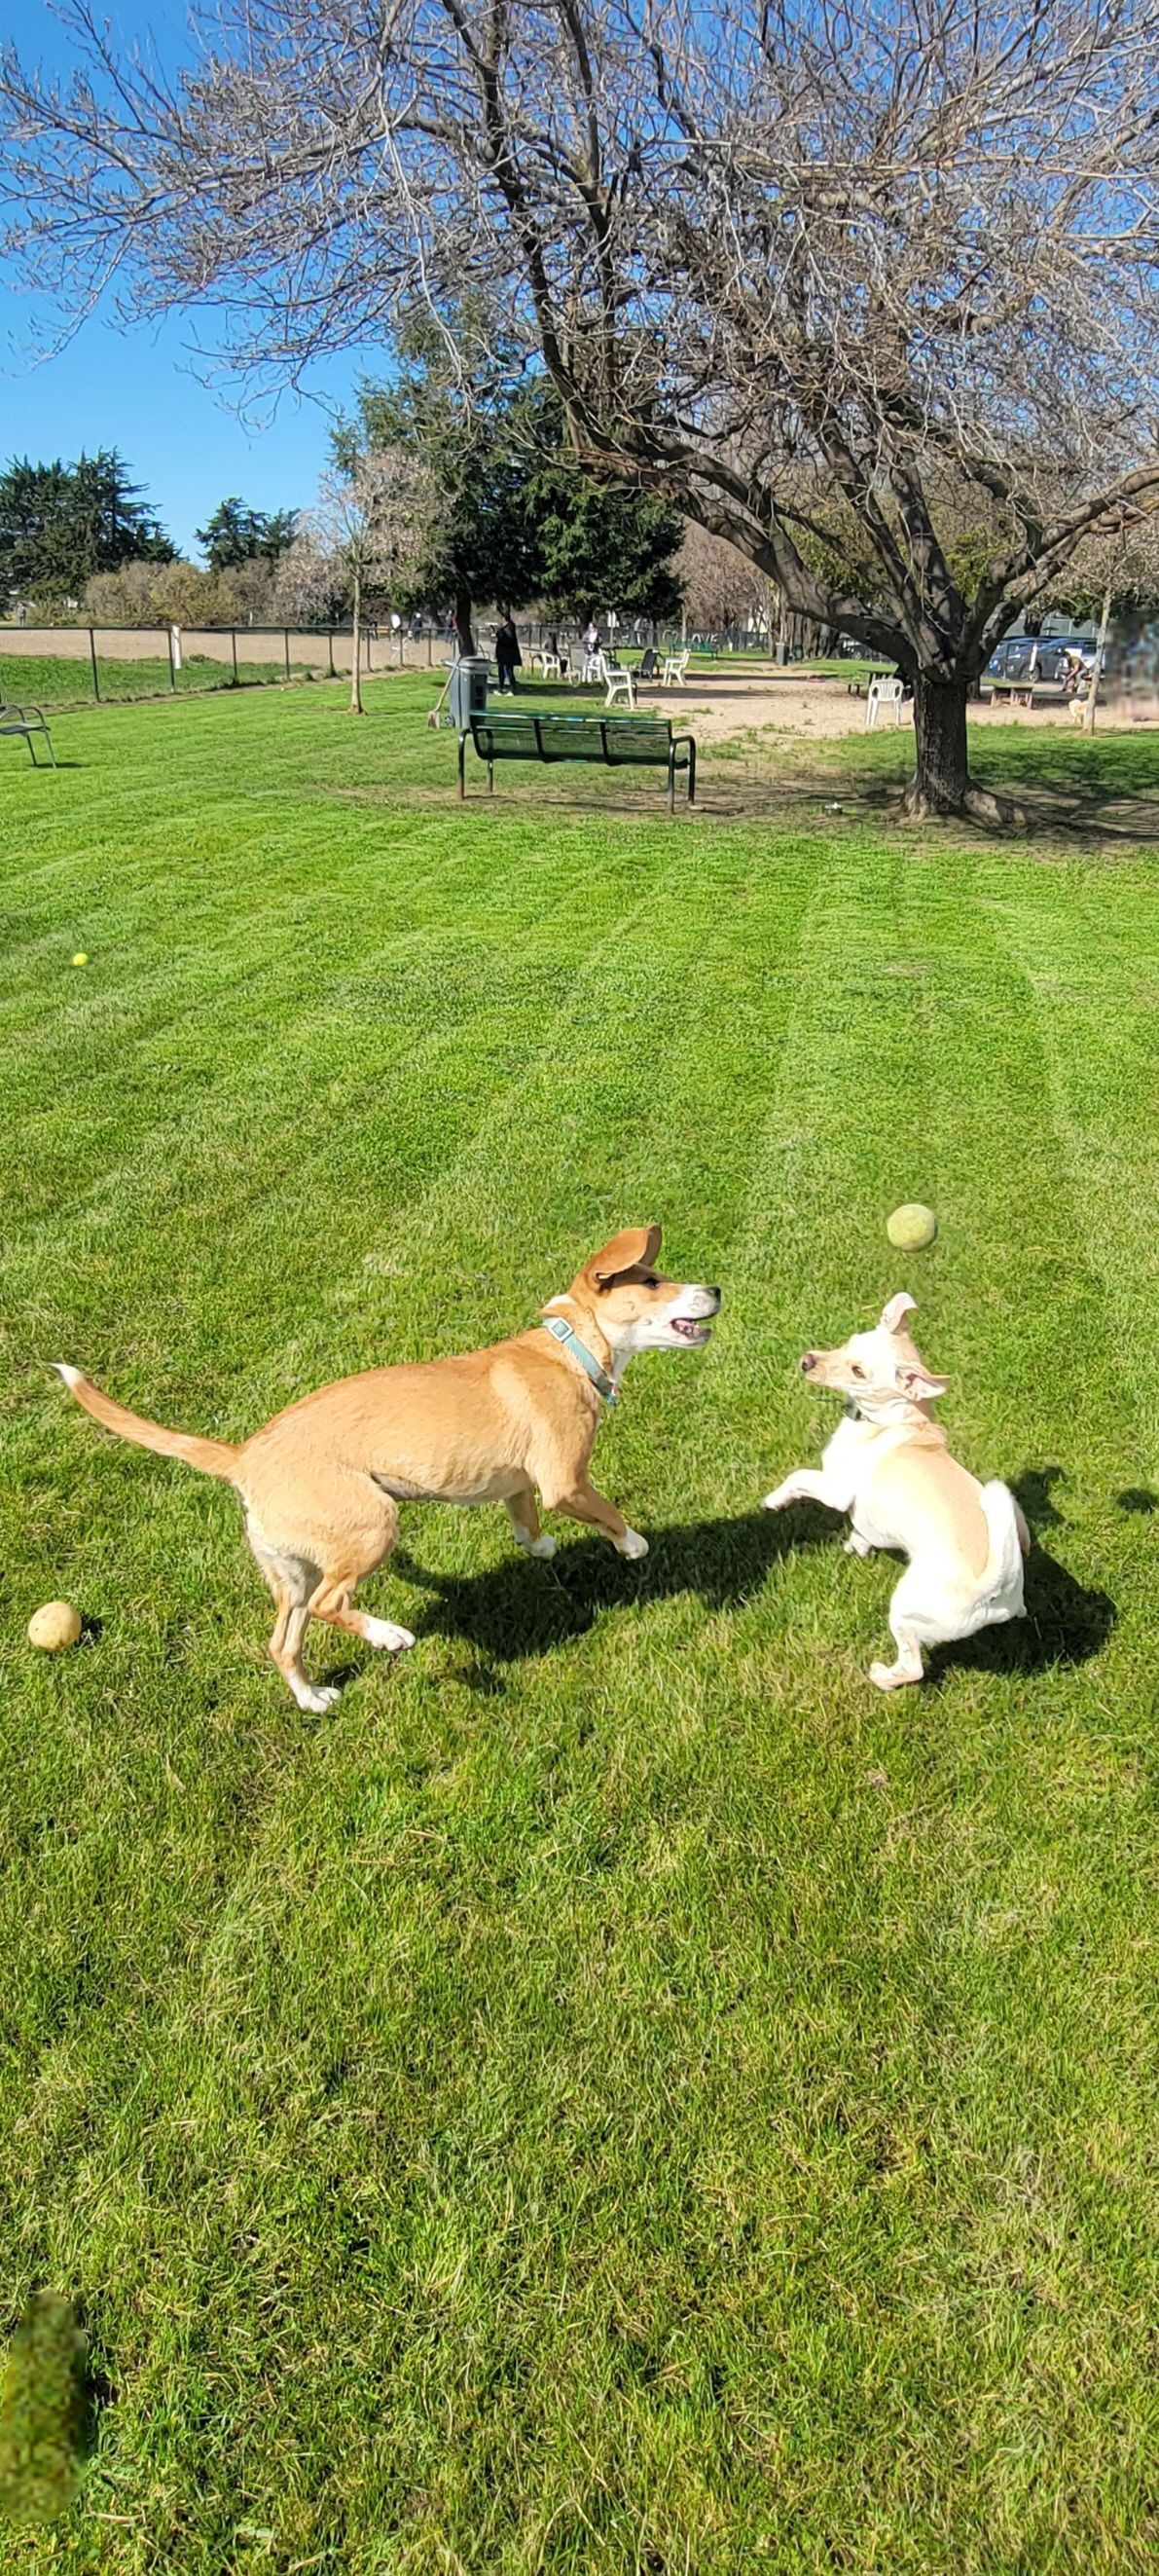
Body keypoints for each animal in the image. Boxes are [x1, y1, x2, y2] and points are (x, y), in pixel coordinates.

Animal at [55, 1225, 720, 1711]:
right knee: (332, 1603)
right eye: (654, 1280)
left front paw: (540, 1548)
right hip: (372, 1522)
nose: (714, 1289)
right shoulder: (565, 1480)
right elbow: (606, 1510)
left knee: (283, 1641)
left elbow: (527, 1525)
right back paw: (388, 1635)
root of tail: (245, 1455)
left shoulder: (520, 1484)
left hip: (291, 1571)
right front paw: (633, 1545)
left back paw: (312, 1699)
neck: (567, 1349)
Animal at [762, 1292, 1028, 1688]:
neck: (898, 1418)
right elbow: (862, 1530)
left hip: (904, 1609)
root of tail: (991, 1587)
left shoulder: (835, 1489)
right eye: (848, 1341)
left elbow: (798, 1476)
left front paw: (774, 1501)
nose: (806, 1361)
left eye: (858, 1372)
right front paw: (856, 1546)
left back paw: (881, 1676)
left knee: (913, 1665)